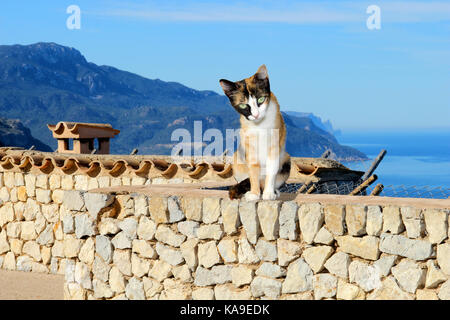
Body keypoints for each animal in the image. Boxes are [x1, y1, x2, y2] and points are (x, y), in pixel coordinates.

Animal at [219, 64, 290, 200]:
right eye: (242, 106)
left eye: (261, 99)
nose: (256, 114)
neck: (260, 126)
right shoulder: (250, 147)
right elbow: (253, 171)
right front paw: (254, 193)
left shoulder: (274, 145)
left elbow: (271, 170)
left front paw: (268, 193)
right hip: (237, 159)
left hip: (286, 159)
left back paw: (274, 191)